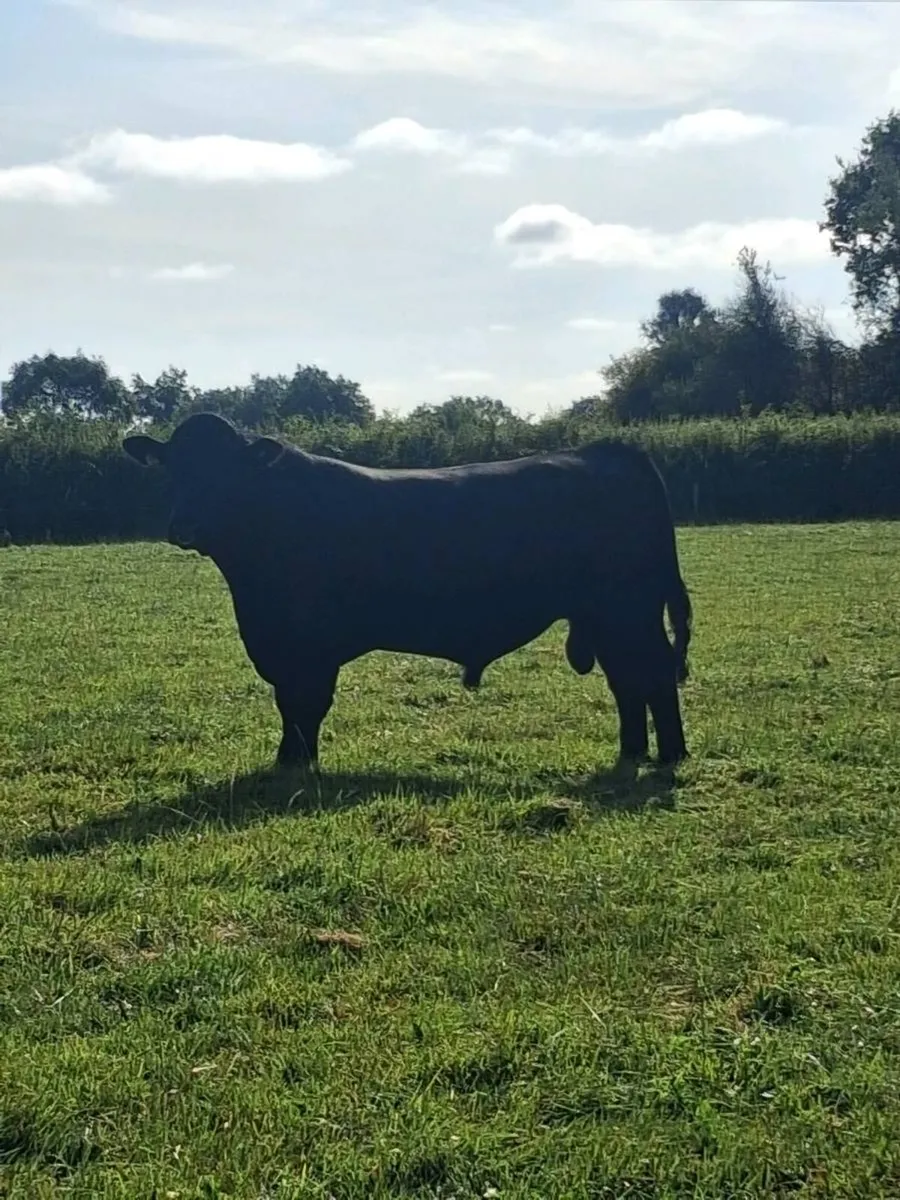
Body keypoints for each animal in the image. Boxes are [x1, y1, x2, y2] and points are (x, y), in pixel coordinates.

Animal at [123, 412, 692, 771]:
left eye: (229, 471)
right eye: (174, 468)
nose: (185, 525)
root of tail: (609, 451)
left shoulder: (306, 643)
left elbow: (304, 703)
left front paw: (298, 764)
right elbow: (291, 705)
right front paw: (290, 760)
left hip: (629, 611)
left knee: (653, 675)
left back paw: (671, 755)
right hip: (608, 615)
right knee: (628, 682)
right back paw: (632, 753)